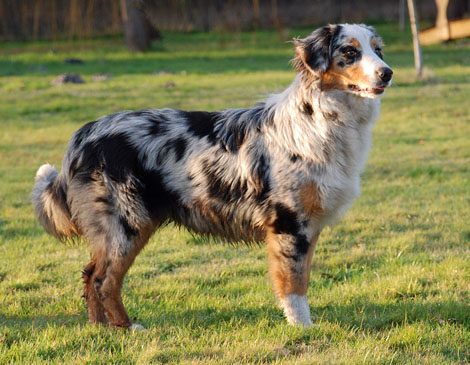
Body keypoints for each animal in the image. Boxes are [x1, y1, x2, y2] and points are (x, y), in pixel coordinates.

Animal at [31, 24, 392, 328]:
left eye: (378, 50)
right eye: (350, 52)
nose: (388, 73)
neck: (320, 119)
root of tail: (83, 135)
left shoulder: (309, 226)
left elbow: (301, 279)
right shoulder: (289, 224)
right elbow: (294, 284)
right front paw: (303, 328)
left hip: (121, 227)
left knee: (90, 272)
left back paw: (99, 327)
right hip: (127, 224)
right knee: (104, 280)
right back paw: (126, 327)